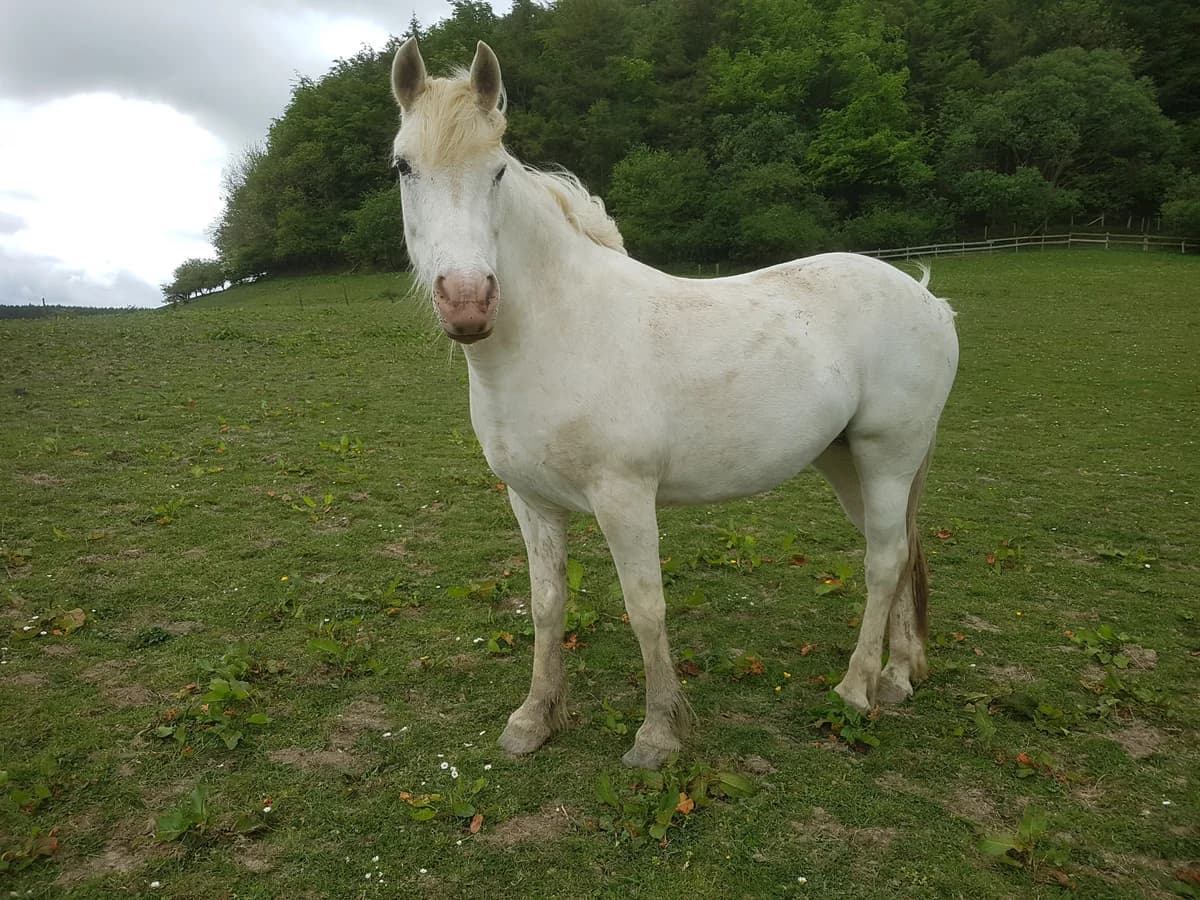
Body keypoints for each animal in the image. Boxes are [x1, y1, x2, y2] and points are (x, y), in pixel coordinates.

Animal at [388, 38, 959, 769]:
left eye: (496, 171)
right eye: (404, 167)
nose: (467, 302)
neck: (562, 331)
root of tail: (929, 299)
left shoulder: (625, 497)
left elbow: (645, 607)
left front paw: (658, 733)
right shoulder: (532, 502)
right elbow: (547, 606)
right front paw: (534, 719)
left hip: (888, 457)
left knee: (884, 561)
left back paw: (856, 689)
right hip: (847, 462)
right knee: (904, 551)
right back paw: (899, 675)